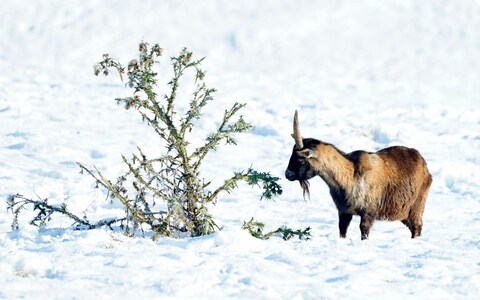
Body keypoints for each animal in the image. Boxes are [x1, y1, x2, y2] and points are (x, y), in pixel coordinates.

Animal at [284, 110, 432, 239]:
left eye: (301, 158)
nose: (287, 174)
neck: (349, 174)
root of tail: (424, 165)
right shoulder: (344, 212)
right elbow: (342, 230)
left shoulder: (368, 212)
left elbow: (364, 231)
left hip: (417, 205)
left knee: (417, 227)